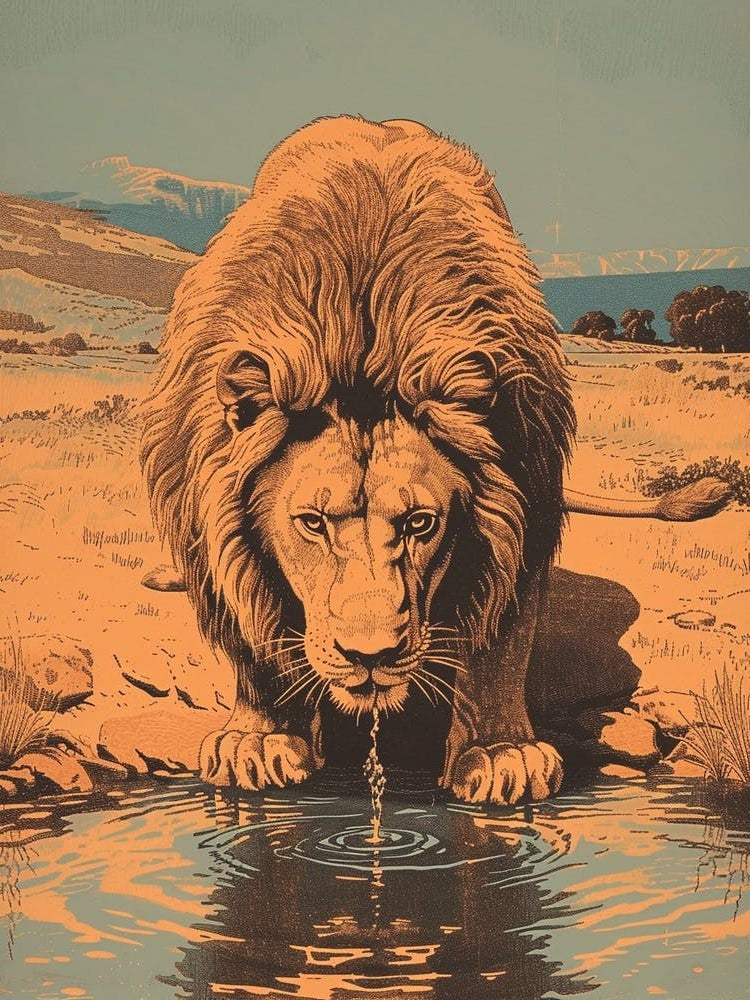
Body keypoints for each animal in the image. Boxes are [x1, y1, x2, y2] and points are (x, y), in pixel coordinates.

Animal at [140, 116, 731, 805]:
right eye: (311, 523)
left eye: (420, 523)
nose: (369, 656)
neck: (363, 341)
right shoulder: (210, 530)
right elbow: (252, 637)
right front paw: (256, 743)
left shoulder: (523, 507)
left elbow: (499, 640)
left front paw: (502, 755)